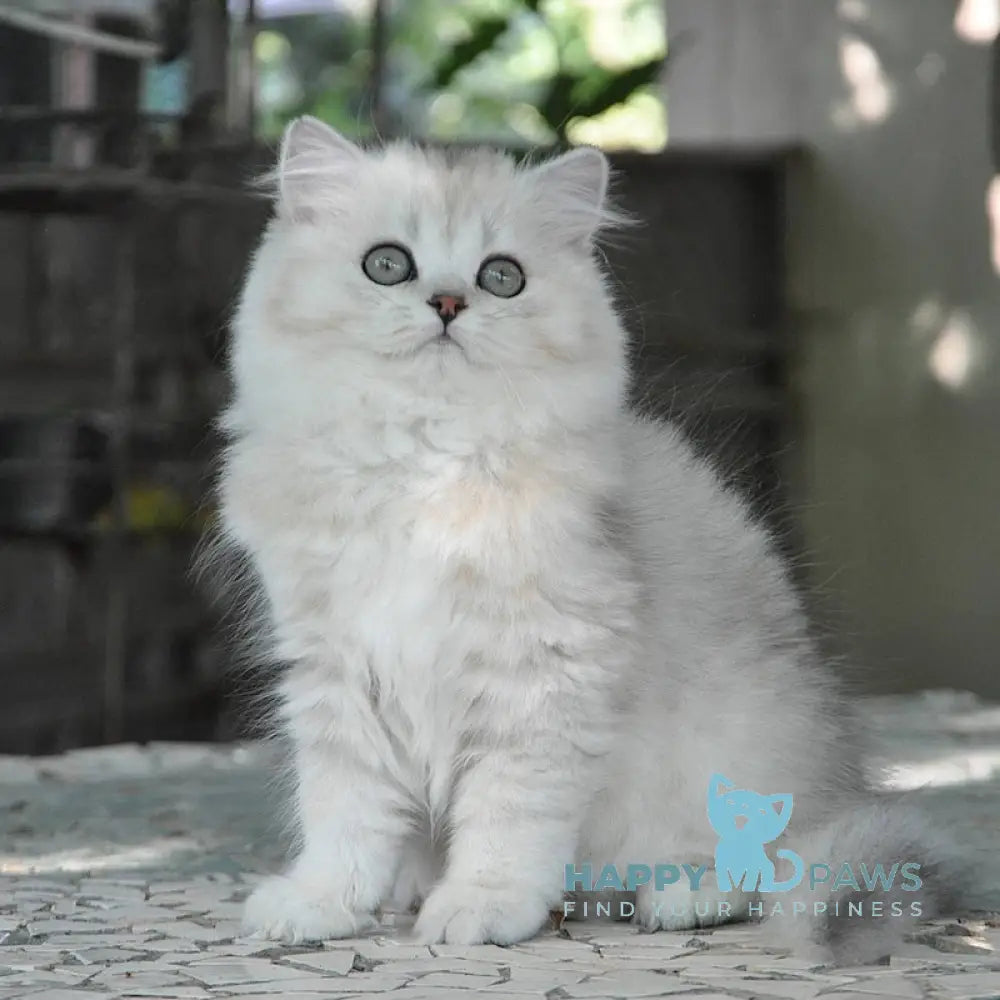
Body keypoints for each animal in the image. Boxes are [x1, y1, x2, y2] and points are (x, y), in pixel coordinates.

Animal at [209, 115, 960, 960]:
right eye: (387, 265)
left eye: (502, 277)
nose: (447, 302)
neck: (425, 470)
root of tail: (844, 778)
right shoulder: (336, 672)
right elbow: (346, 814)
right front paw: (324, 903)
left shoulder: (542, 671)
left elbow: (507, 815)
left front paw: (481, 905)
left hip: (734, 763)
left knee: (764, 863)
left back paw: (683, 897)